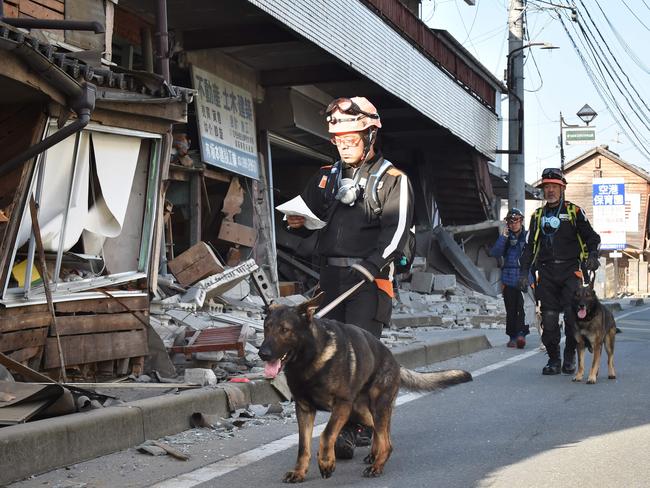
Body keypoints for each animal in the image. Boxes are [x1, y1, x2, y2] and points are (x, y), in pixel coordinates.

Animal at [258, 292, 470, 482]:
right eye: (266, 328)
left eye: (285, 329)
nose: (262, 353)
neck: (309, 359)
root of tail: (394, 361)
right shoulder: (304, 409)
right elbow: (303, 446)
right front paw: (299, 472)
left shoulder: (341, 405)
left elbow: (327, 434)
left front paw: (326, 462)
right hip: (360, 412)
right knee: (381, 431)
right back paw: (374, 455)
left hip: (373, 406)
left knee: (386, 440)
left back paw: (377, 465)